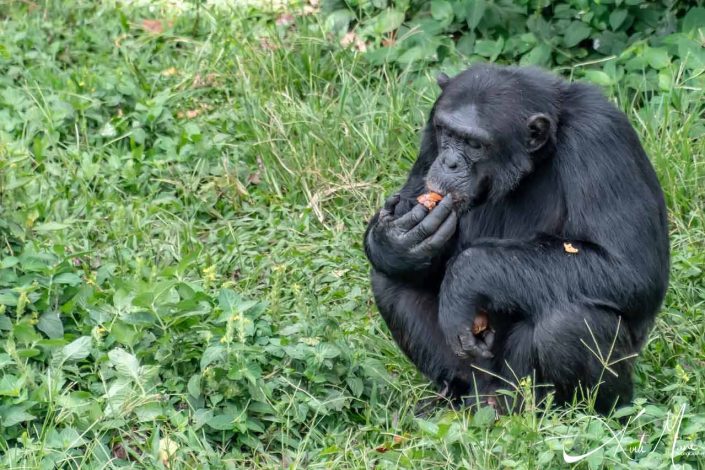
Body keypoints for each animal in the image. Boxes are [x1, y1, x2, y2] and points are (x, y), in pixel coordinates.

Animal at [366, 64, 668, 414]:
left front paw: (465, 278)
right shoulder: (430, 141)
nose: (448, 162)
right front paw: (396, 242)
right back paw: (452, 393)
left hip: (521, 387)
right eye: (447, 133)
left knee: (569, 323)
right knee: (390, 279)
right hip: (478, 377)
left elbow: (629, 268)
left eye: (474, 144)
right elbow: (412, 204)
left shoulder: (600, 136)